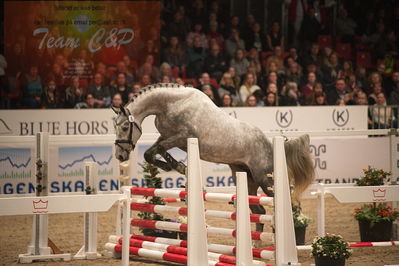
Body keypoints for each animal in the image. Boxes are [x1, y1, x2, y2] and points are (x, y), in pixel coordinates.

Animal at [112, 83, 316, 233]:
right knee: (259, 210)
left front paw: (179, 167)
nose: (120, 155)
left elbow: (160, 149)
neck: (171, 103)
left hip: (265, 178)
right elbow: (151, 152)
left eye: (124, 127)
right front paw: (175, 166)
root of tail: (269, 144)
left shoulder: (183, 136)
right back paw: (256, 244)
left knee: (289, 199)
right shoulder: (167, 136)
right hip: (246, 177)